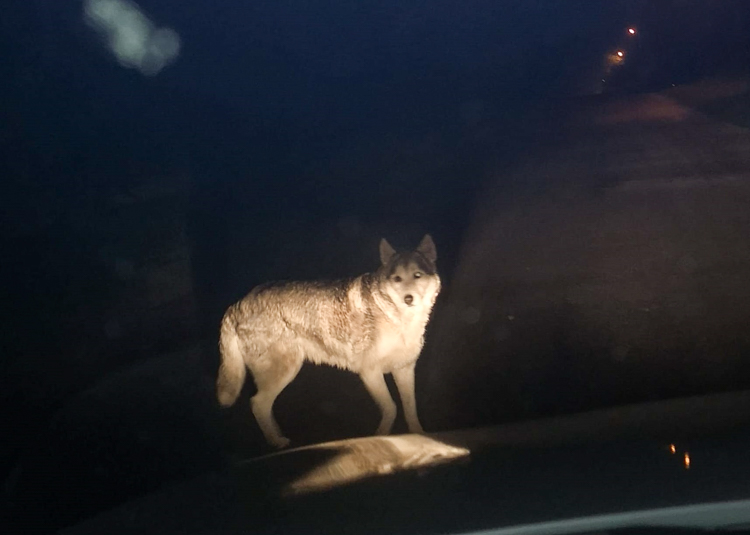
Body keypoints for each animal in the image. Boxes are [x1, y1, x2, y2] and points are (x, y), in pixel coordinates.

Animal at [217, 234, 440, 448]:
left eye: (417, 275)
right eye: (397, 279)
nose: (408, 299)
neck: (398, 317)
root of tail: (237, 303)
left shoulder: (404, 369)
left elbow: (410, 408)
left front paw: (419, 434)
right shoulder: (369, 372)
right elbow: (391, 407)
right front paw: (380, 435)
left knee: (264, 406)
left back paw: (277, 436)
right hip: (285, 371)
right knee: (257, 404)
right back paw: (276, 442)